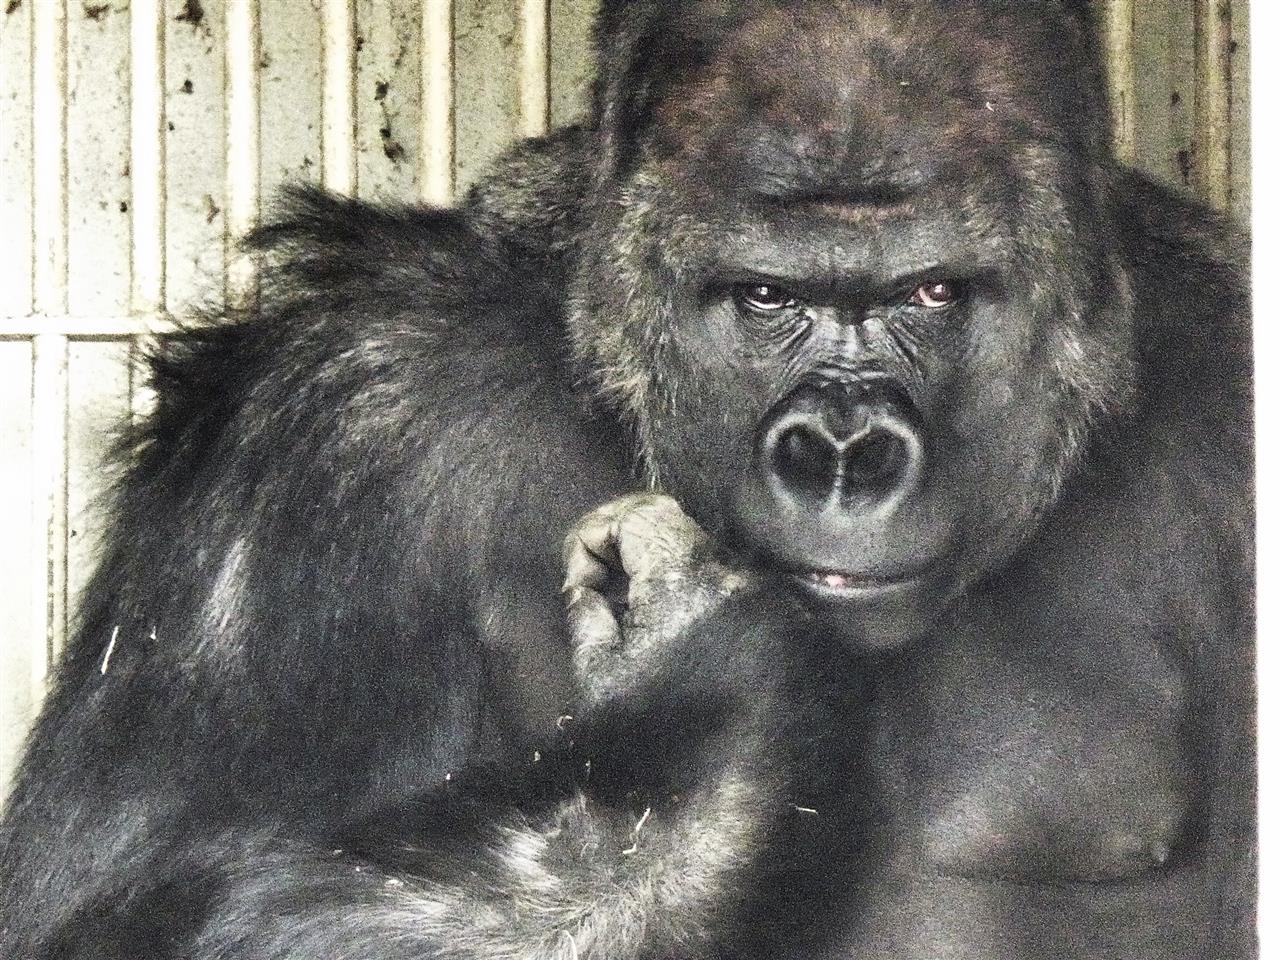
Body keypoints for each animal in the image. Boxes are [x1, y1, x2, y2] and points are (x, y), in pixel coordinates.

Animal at [0, 1, 1249, 960]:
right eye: (765, 297)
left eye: (930, 293)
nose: (841, 454)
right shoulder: (332, 423)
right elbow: (102, 911)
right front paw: (714, 724)